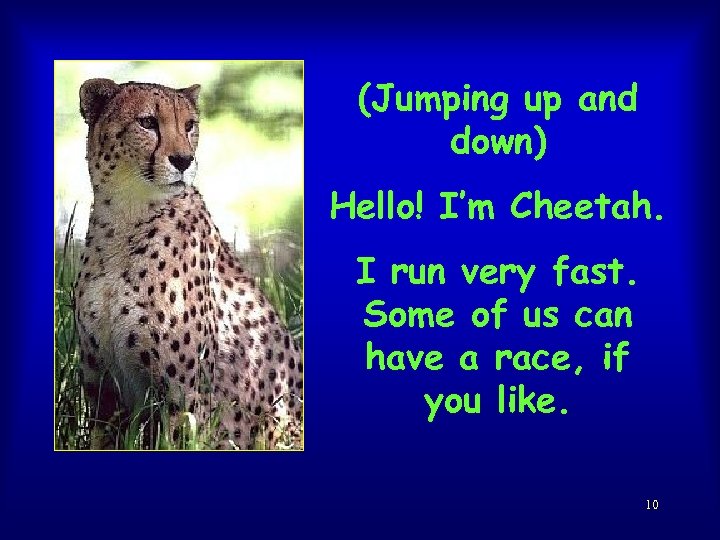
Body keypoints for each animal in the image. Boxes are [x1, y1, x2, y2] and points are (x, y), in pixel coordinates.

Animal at [72, 78, 303, 450]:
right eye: (147, 122)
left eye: (190, 125)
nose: (183, 159)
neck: (126, 220)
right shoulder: (103, 391)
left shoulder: (185, 399)